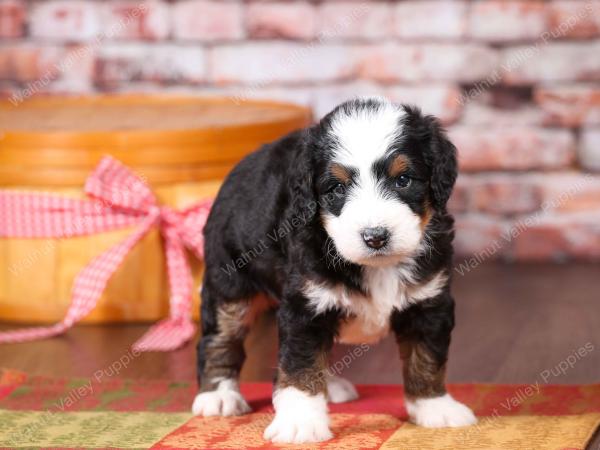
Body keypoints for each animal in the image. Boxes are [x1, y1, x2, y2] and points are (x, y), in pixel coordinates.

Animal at [192, 97, 478, 442]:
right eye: (337, 188)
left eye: (403, 180)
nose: (375, 236)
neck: (376, 267)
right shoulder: (305, 304)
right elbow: (301, 364)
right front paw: (300, 422)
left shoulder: (429, 302)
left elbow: (426, 356)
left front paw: (434, 406)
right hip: (230, 281)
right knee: (220, 338)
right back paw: (218, 395)